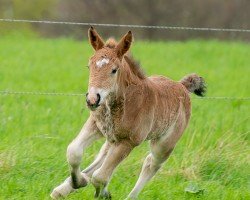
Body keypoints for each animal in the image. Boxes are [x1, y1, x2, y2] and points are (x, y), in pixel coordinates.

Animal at [50, 27, 205, 199]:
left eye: (114, 70)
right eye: (89, 66)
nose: (92, 99)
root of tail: (182, 86)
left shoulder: (129, 141)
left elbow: (100, 177)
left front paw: (101, 192)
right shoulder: (95, 125)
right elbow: (73, 151)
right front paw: (78, 182)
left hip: (164, 144)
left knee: (152, 163)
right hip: (112, 138)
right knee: (103, 156)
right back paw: (62, 189)